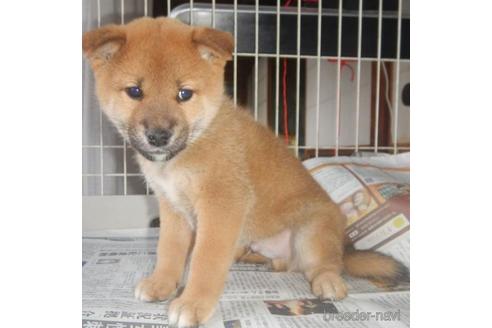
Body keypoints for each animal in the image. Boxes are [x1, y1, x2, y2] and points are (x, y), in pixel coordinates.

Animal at [83, 17, 408, 326]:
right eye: (134, 92)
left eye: (184, 94)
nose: (159, 136)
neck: (193, 143)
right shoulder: (172, 209)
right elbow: (168, 251)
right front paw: (161, 284)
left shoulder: (221, 206)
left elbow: (206, 261)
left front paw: (193, 304)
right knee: (286, 263)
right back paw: (255, 259)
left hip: (312, 231)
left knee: (325, 264)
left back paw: (328, 282)